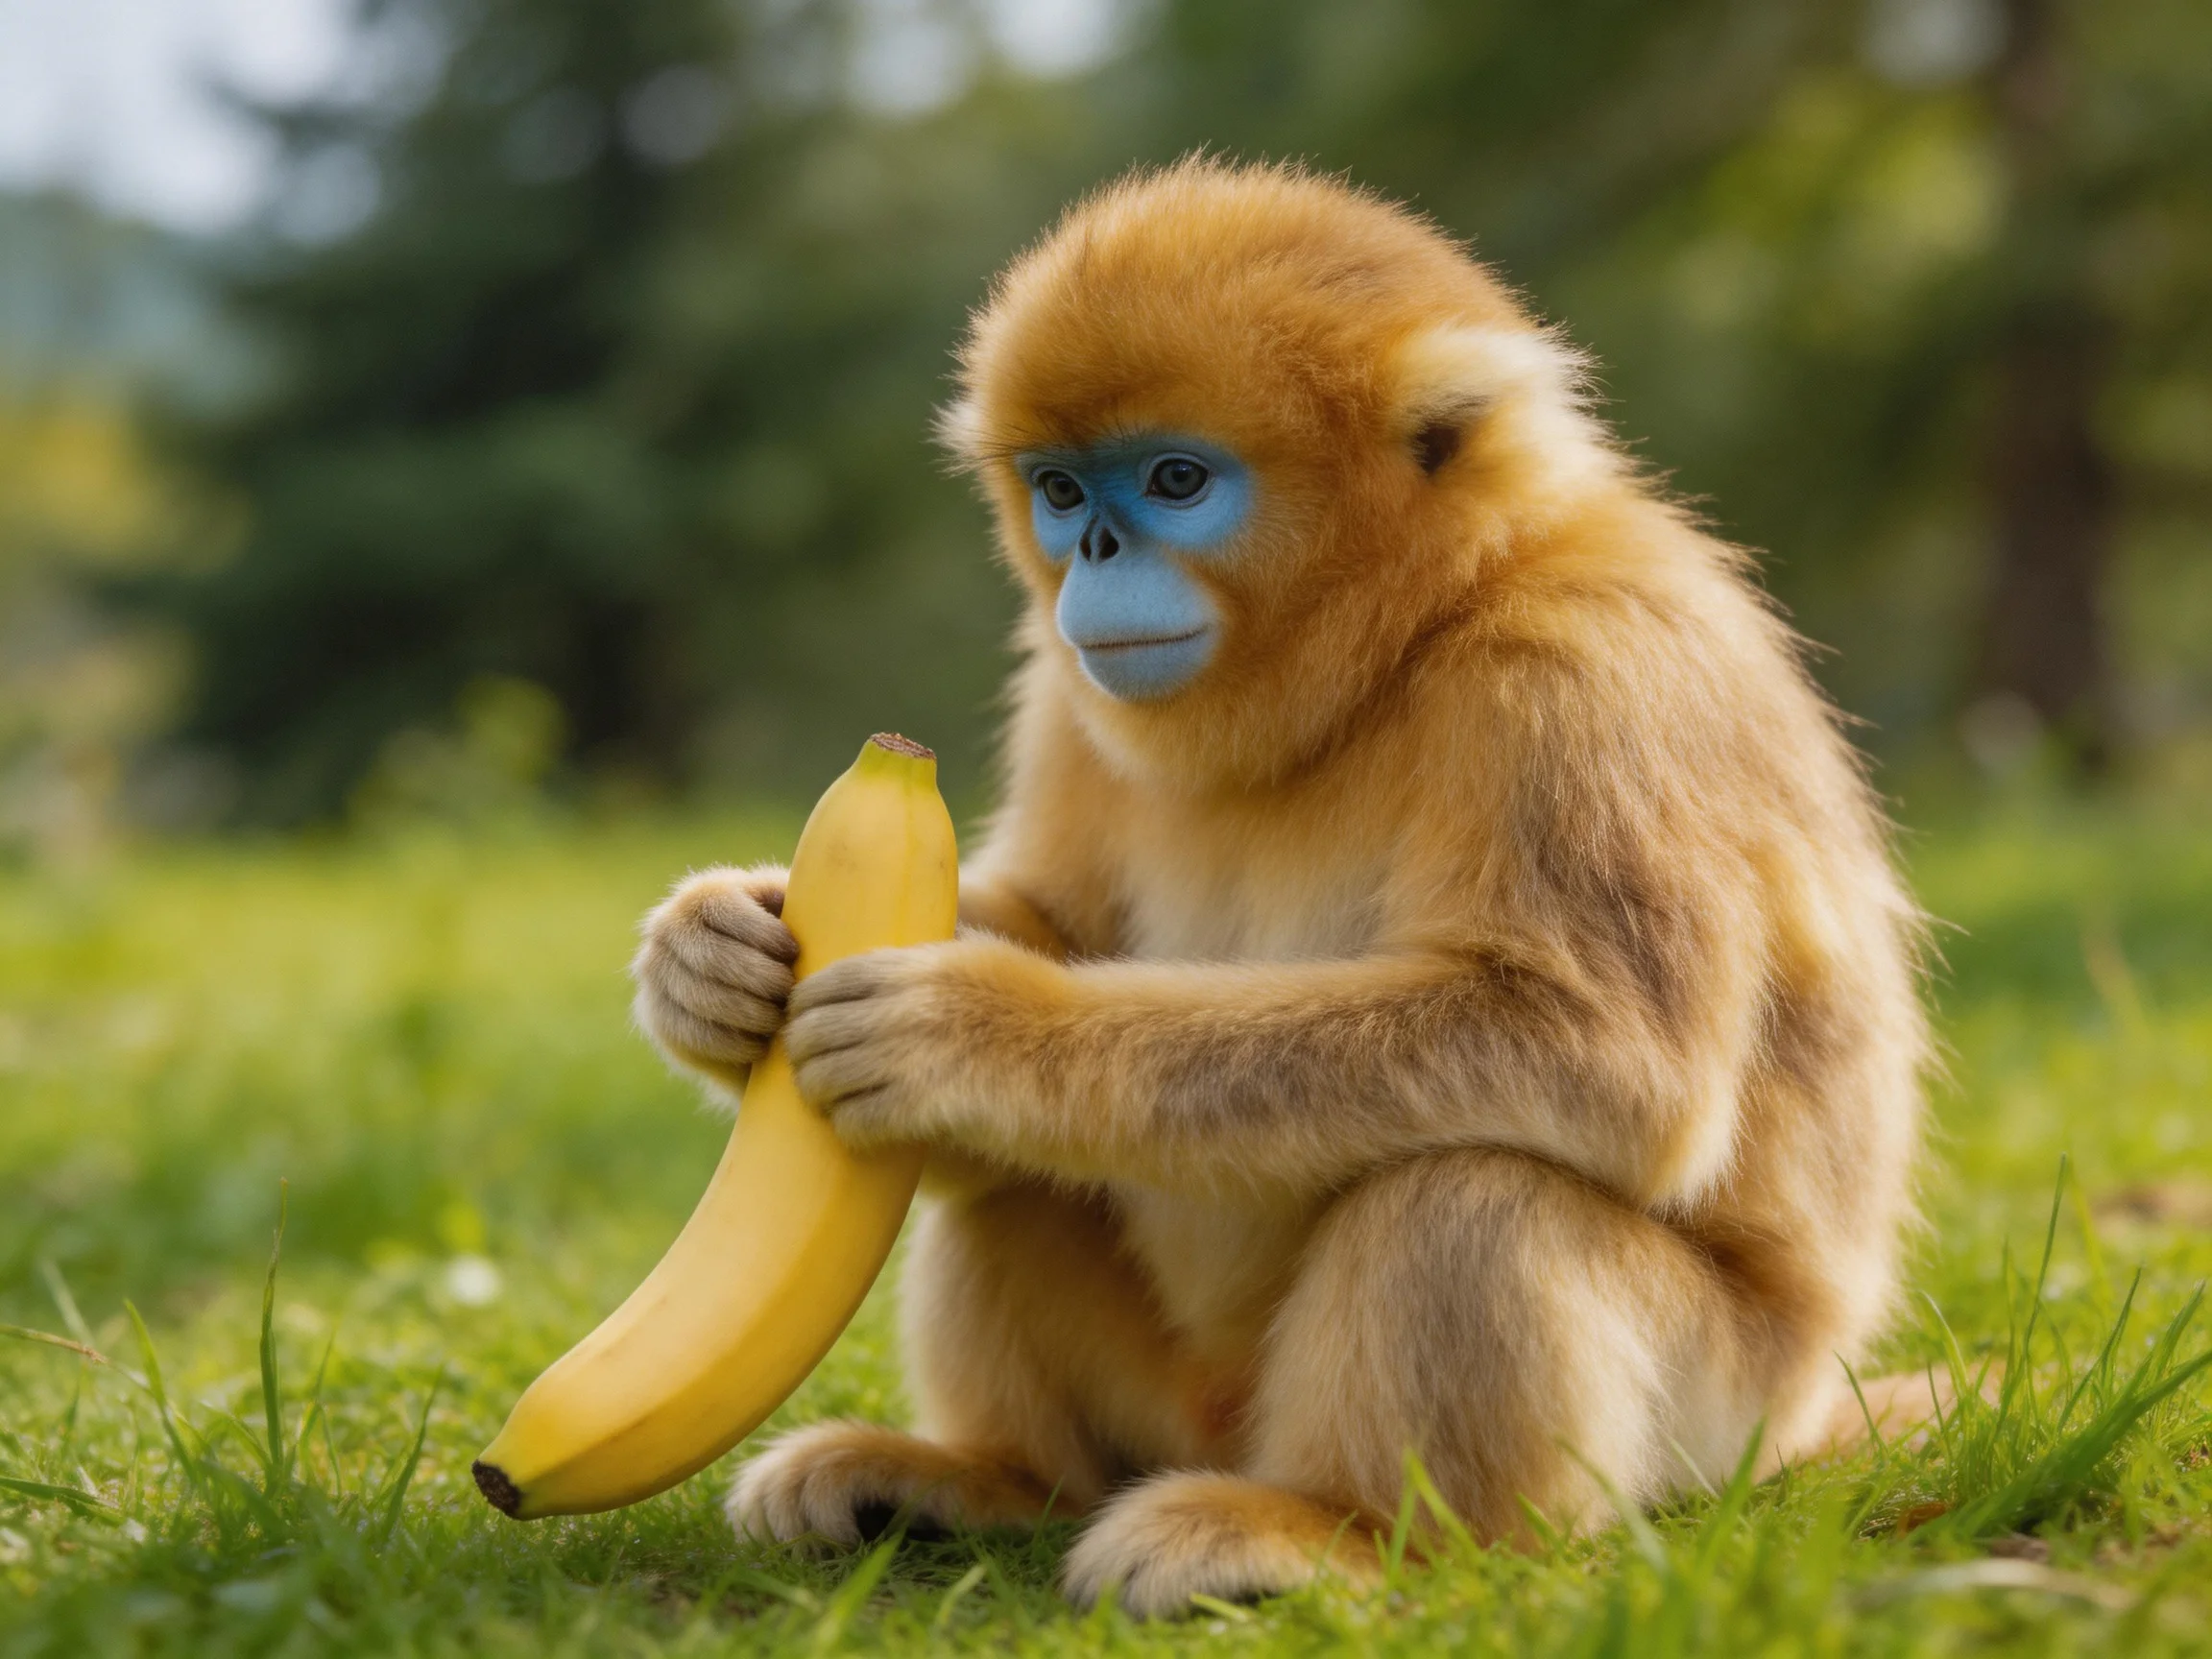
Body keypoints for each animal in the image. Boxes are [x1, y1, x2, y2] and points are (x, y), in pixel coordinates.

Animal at [630, 157, 1930, 1617]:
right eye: (1061, 489)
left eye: (1175, 479)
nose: (1094, 552)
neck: (1405, 641)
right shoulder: (1069, 688)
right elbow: (1053, 926)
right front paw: (711, 953)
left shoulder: (1589, 667)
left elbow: (1608, 1056)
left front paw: (980, 1031)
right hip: (1165, 1396)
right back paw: (989, 1483)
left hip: (1714, 1418)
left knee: (1474, 1192)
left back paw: (1341, 1531)